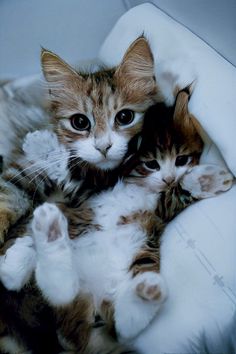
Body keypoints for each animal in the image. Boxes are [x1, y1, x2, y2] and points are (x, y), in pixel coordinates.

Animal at [0, 89, 232, 354]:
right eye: (151, 164)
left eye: (182, 160)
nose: (168, 178)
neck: (138, 187)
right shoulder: (87, 195)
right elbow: (68, 175)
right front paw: (40, 145)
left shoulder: (160, 209)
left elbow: (179, 193)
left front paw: (208, 179)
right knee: (56, 288)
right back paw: (27, 252)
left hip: (131, 264)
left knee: (115, 321)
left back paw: (146, 291)